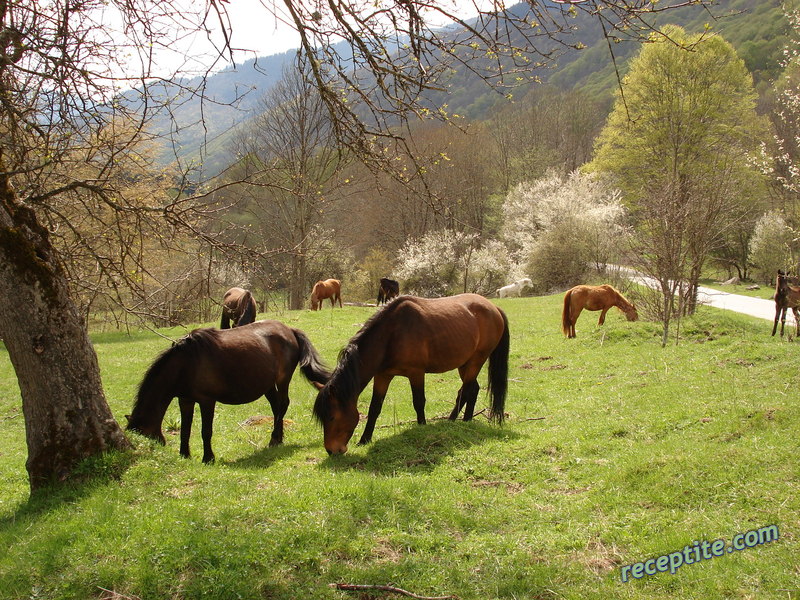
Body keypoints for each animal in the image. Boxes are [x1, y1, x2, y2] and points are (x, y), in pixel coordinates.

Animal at [127, 322, 332, 462]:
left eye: (144, 435)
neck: (186, 363)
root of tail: (289, 330)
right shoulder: (185, 400)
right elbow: (185, 429)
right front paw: (184, 455)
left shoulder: (206, 401)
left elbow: (205, 431)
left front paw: (208, 458)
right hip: (267, 385)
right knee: (276, 408)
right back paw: (278, 439)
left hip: (282, 380)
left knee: (282, 405)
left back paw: (274, 439)